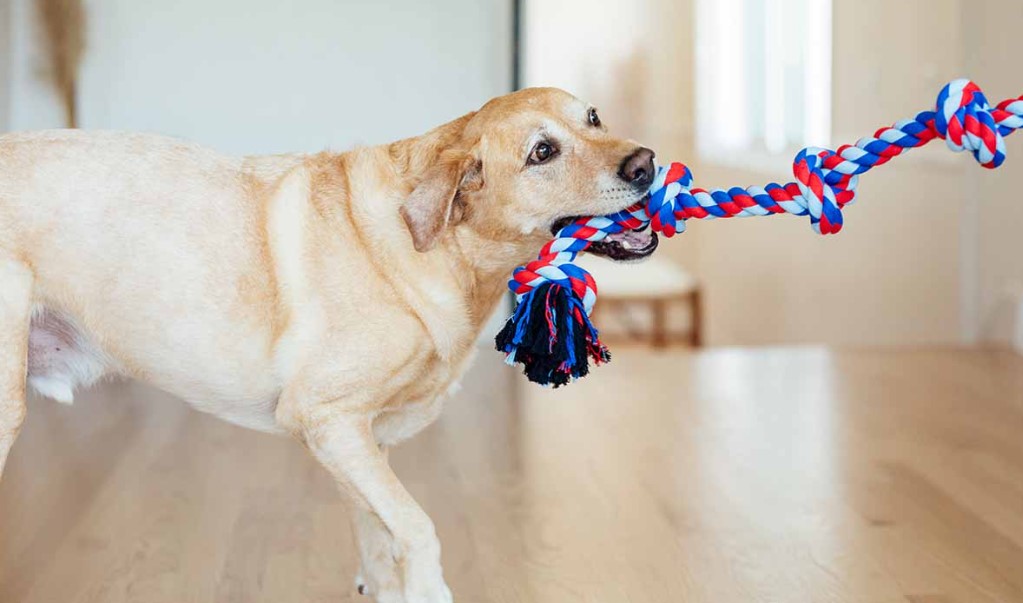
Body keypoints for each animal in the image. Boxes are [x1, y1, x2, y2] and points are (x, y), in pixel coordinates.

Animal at [0, 87, 654, 597]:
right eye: (542, 153)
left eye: (593, 117)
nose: (646, 164)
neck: (437, 249)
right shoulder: (325, 419)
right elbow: (417, 528)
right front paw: (429, 587)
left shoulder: (361, 443)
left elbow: (378, 541)